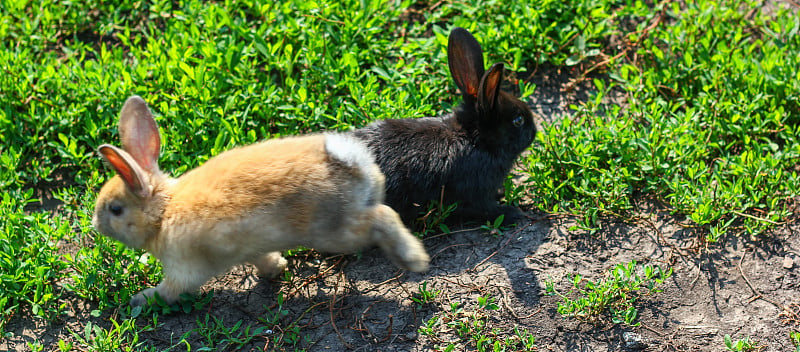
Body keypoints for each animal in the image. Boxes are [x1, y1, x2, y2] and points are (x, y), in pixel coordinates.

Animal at [92, 95, 432, 306]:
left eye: (115, 210)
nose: (95, 224)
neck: (163, 212)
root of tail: (352, 163)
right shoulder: (253, 249)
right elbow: (264, 259)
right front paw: (276, 270)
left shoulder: (182, 269)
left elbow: (170, 291)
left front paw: (141, 299)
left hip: (336, 232)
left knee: (383, 217)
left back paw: (415, 260)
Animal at [352, 26, 536, 226]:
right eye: (518, 120)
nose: (534, 131)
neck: (474, 139)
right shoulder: (475, 191)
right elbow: (485, 209)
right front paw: (512, 212)